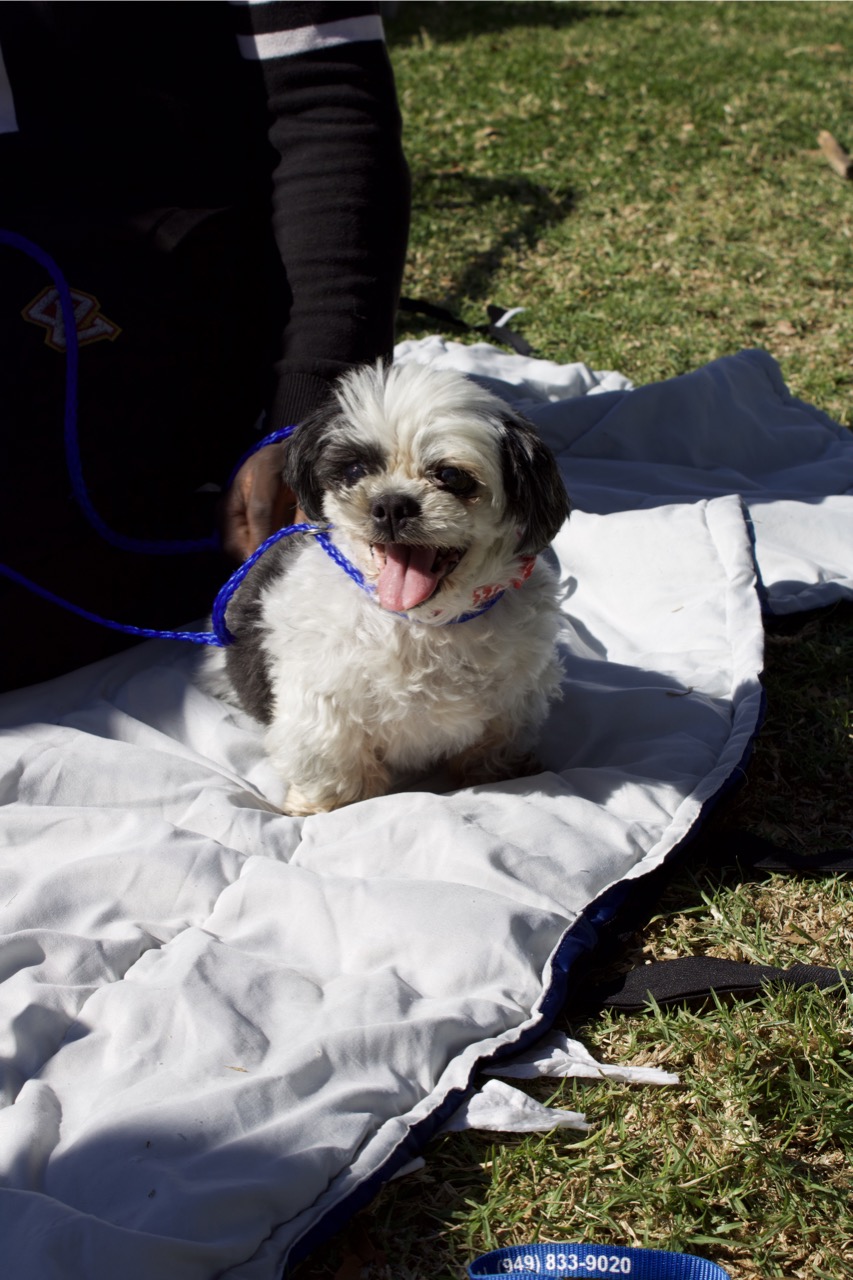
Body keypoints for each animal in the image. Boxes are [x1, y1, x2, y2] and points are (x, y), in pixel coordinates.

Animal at [206, 355, 568, 814]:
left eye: (452, 476)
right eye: (355, 469)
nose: (392, 503)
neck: (424, 623)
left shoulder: (517, 694)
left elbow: (497, 739)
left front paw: (497, 771)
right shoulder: (320, 700)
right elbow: (331, 759)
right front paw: (323, 806)